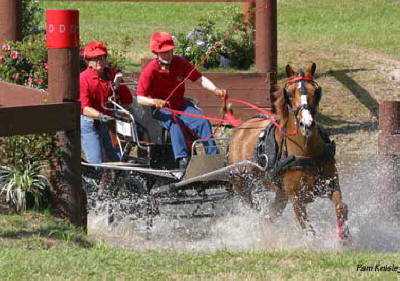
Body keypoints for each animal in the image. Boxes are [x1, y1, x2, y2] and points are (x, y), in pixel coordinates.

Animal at [227, 62, 352, 240]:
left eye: (315, 92)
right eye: (290, 94)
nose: (307, 124)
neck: (307, 153)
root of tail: (240, 130)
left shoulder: (331, 184)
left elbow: (342, 207)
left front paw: (345, 237)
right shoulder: (297, 199)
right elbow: (309, 230)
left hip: (281, 194)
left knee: (269, 215)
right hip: (241, 186)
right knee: (259, 211)